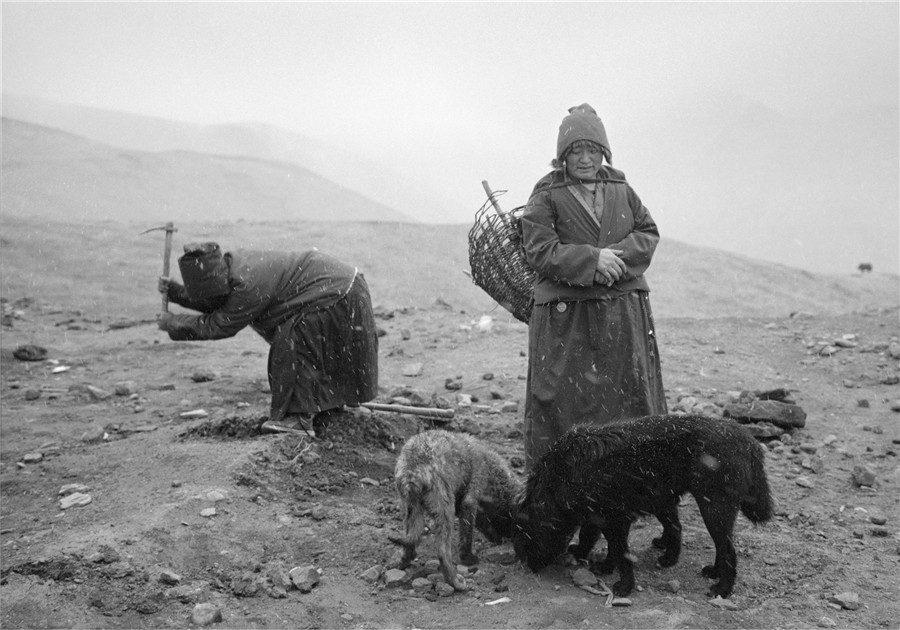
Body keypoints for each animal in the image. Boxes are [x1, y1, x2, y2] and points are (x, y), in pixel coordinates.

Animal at [386, 430, 520, 592]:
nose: (507, 539)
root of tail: (413, 470)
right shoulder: (471, 498)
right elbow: (467, 535)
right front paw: (468, 558)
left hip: (410, 508)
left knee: (410, 540)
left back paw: (403, 560)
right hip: (444, 508)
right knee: (442, 552)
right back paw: (455, 582)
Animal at [512, 418, 772, 600]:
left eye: (528, 540)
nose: (530, 569)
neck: (556, 481)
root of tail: (748, 440)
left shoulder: (615, 520)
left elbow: (621, 553)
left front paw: (624, 586)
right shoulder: (598, 517)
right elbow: (595, 540)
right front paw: (603, 565)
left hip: (713, 509)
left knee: (728, 550)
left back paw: (723, 588)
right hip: (668, 501)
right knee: (686, 531)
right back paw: (680, 561)